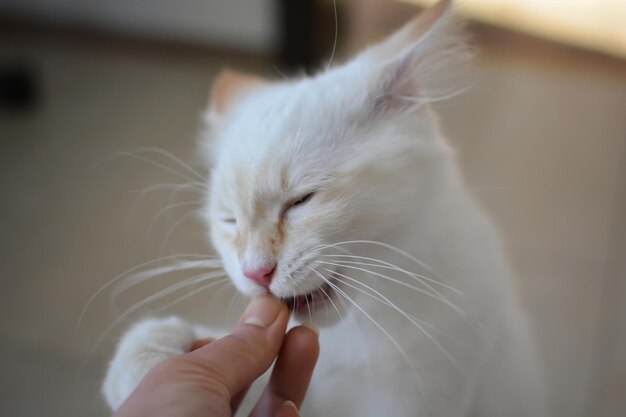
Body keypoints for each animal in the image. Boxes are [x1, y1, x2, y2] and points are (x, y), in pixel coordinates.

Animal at [101, 1, 540, 414]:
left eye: (301, 201)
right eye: (229, 220)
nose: (256, 273)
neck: (361, 328)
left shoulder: (424, 395)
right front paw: (151, 356)